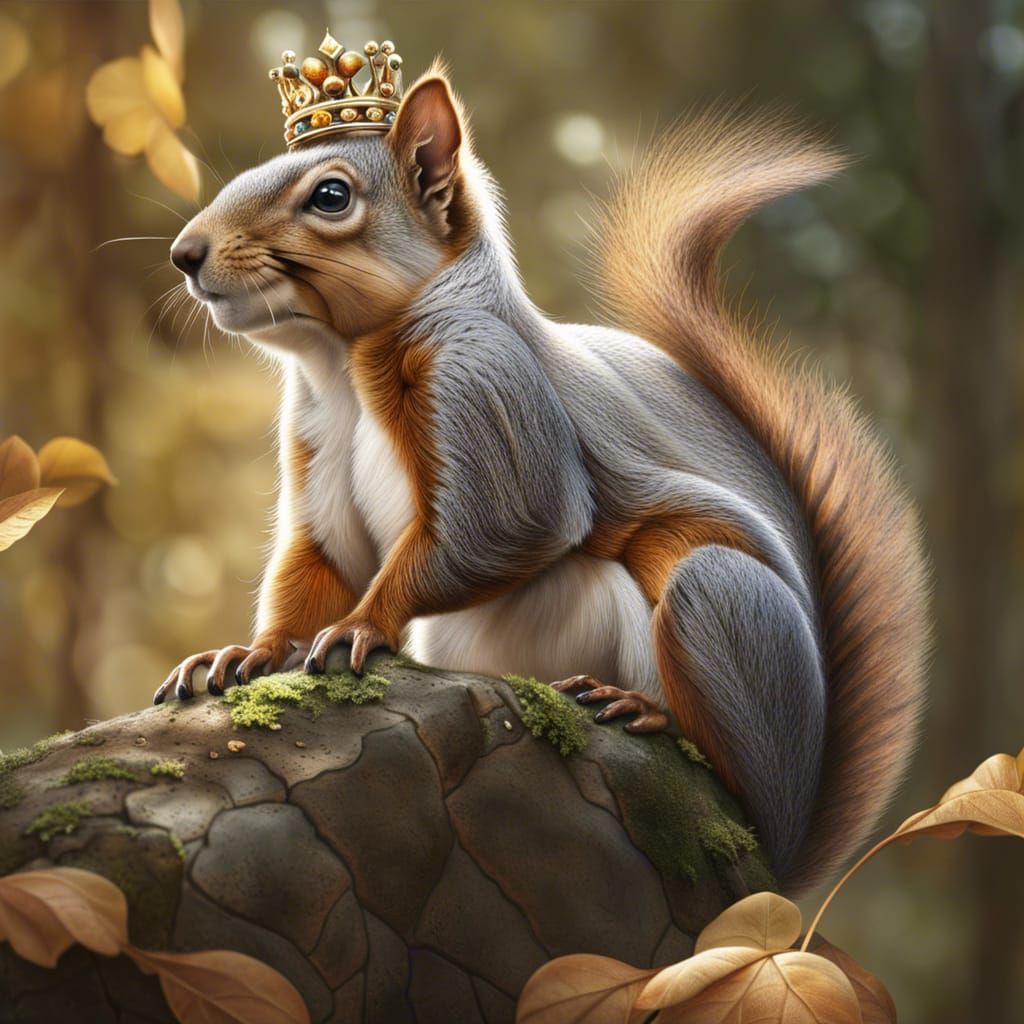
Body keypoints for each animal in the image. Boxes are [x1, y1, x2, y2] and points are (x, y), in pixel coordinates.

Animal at [159, 62, 929, 894]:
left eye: (331, 195)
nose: (185, 253)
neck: (342, 364)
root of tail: (785, 851)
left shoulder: (488, 382)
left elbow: (510, 524)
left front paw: (361, 626)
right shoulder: (315, 435)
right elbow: (321, 561)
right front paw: (250, 655)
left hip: (726, 612)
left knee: (728, 760)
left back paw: (643, 709)